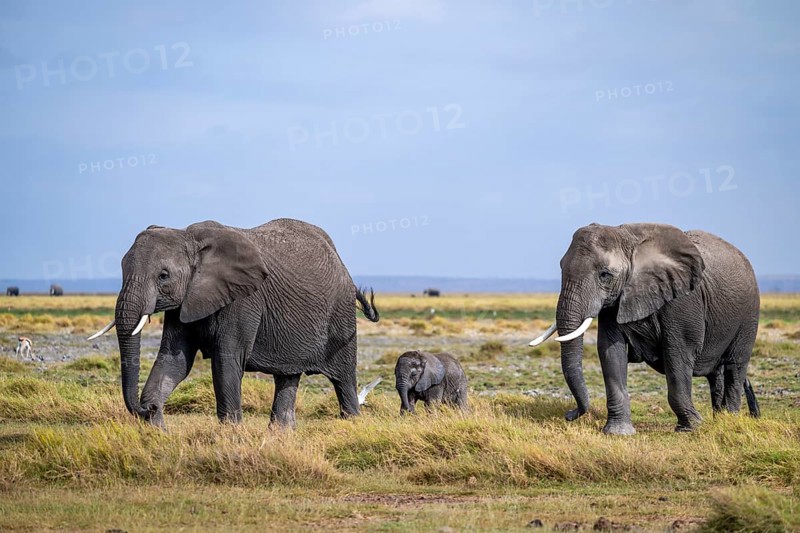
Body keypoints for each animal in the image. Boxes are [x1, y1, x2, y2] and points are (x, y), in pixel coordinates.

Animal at [87, 218, 380, 428]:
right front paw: (157, 430)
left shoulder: (243, 299)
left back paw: (352, 423)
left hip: (341, 315)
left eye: (163, 275)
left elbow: (226, 360)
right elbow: (174, 360)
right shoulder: (186, 300)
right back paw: (280, 433)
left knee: (343, 378)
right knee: (287, 376)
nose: (146, 410)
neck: (189, 236)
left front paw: (230, 434)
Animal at [529, 223, 760, 434]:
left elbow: (678, 354)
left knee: (735, 365)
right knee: (716, 373)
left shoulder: (682, 300)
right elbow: (610, 352)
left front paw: (691, 428)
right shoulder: (616, 301)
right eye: (561, 267)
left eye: (605, 275)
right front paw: (618, 433)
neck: (628, 239)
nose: (569, 415)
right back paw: (719, 418)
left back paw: (729, 420)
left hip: (749, 313)